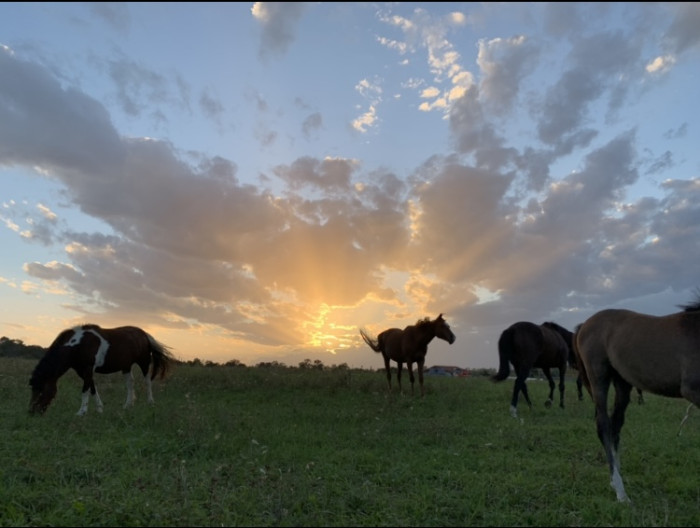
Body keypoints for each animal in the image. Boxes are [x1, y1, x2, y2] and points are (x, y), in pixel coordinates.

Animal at [576, 296, 700, 504]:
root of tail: (584, 324)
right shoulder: (693, 390)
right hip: (599, 377)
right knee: (603, 425)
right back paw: (621, 491)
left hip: (622, 383)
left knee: (615, 425)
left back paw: (615, 480)